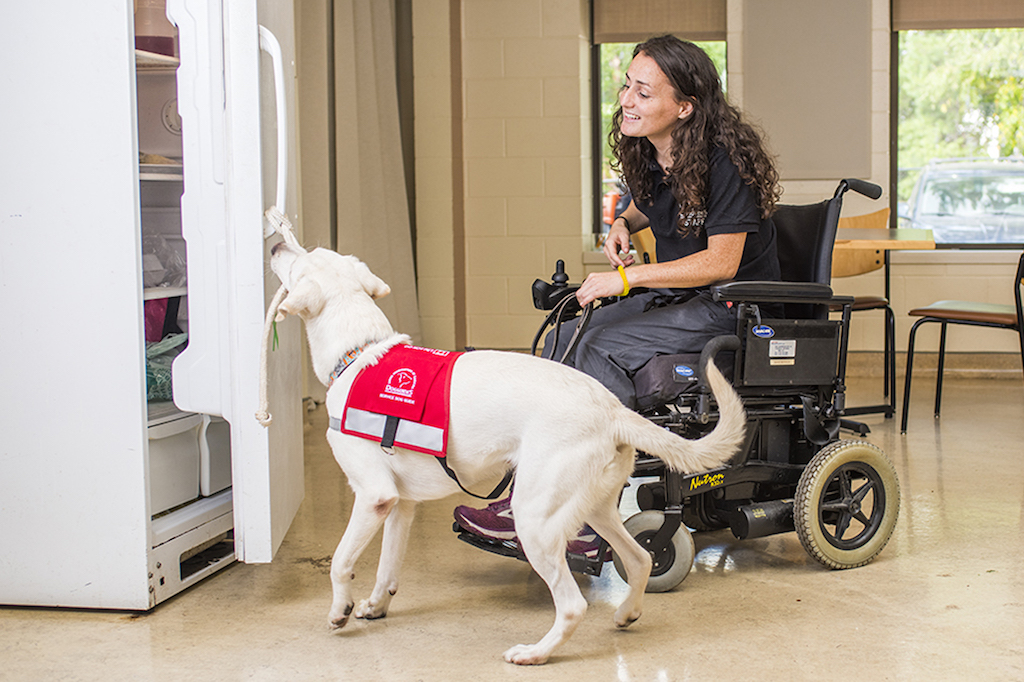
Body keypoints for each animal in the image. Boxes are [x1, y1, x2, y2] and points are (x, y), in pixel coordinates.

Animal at [270, 244, 745, 663]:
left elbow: (340, 561)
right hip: (595, 509)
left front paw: (340, 611)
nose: (274, 246)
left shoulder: (374, 497)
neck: (359, 354)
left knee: (573, 604)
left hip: (536, 520)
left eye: (301, 257)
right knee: (642, 557)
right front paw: (375, 606)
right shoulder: (401, 505)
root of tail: (613, 409)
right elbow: (388, 566)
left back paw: (536, 654)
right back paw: (626, 613)